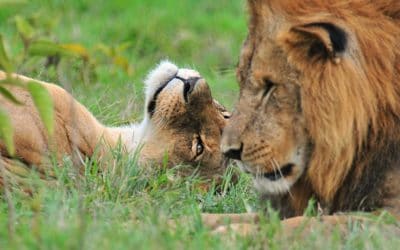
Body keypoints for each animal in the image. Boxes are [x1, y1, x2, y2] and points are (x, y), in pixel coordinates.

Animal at [205, 0, 398, 233]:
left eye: (270, 86)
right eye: (241, 80)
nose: (230, 152)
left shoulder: (390, 215)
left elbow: (301, 225)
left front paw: (232, 233)